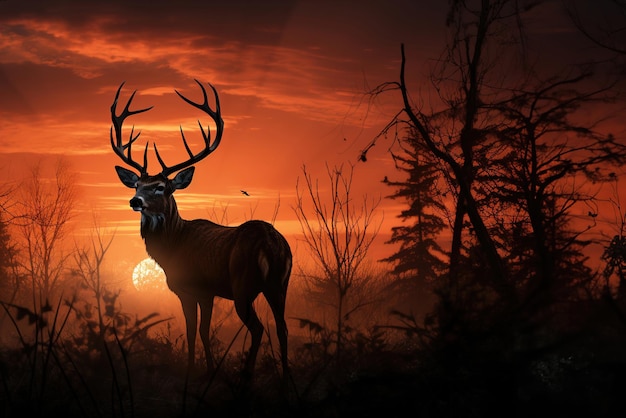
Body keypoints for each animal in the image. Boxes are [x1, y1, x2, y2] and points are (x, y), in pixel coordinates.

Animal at [109, 79, 290, 382]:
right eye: (136, 185)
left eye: (161, 187)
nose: (135, 201)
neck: (174, 246)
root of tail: (272, 243)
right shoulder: (206, 292)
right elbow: (202, 331)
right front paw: (208, 369)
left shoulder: (195, 288)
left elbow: (195, 331)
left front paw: (197, 371)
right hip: (280, 284)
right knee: (283, 327)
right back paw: (287, 377)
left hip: (243, 285)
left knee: (258, 328)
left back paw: (246, 376)